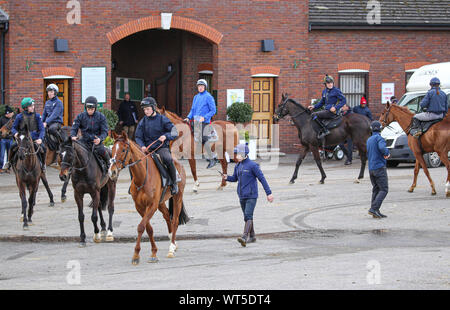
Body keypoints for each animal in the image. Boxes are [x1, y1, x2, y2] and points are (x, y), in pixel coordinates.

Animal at [109, 132, 190, 266]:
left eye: (123, 149)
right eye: (112, 150)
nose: (112, 171)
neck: (142, 176)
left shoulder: (151, 205)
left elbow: (141, 226)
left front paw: (137, 255)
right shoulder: (140, 207)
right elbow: (148, 228)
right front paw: (152, 252)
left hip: (177, 197)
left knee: (175, 220)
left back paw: (171, 247)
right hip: (161, 202)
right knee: (167, 216)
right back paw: (172, 240)